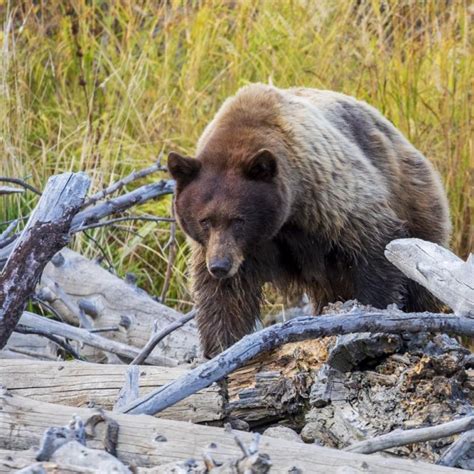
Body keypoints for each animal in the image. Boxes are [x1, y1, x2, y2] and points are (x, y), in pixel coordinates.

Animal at [168, 83, 452, 358]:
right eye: (205, 220)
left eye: (239, 220)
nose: (220, 266)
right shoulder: (230, 250)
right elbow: (223, 297)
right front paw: (220, 348)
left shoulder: (327, 199)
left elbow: (376, 247)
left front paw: (372, 315)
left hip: (414, 199)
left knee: (420, 278)